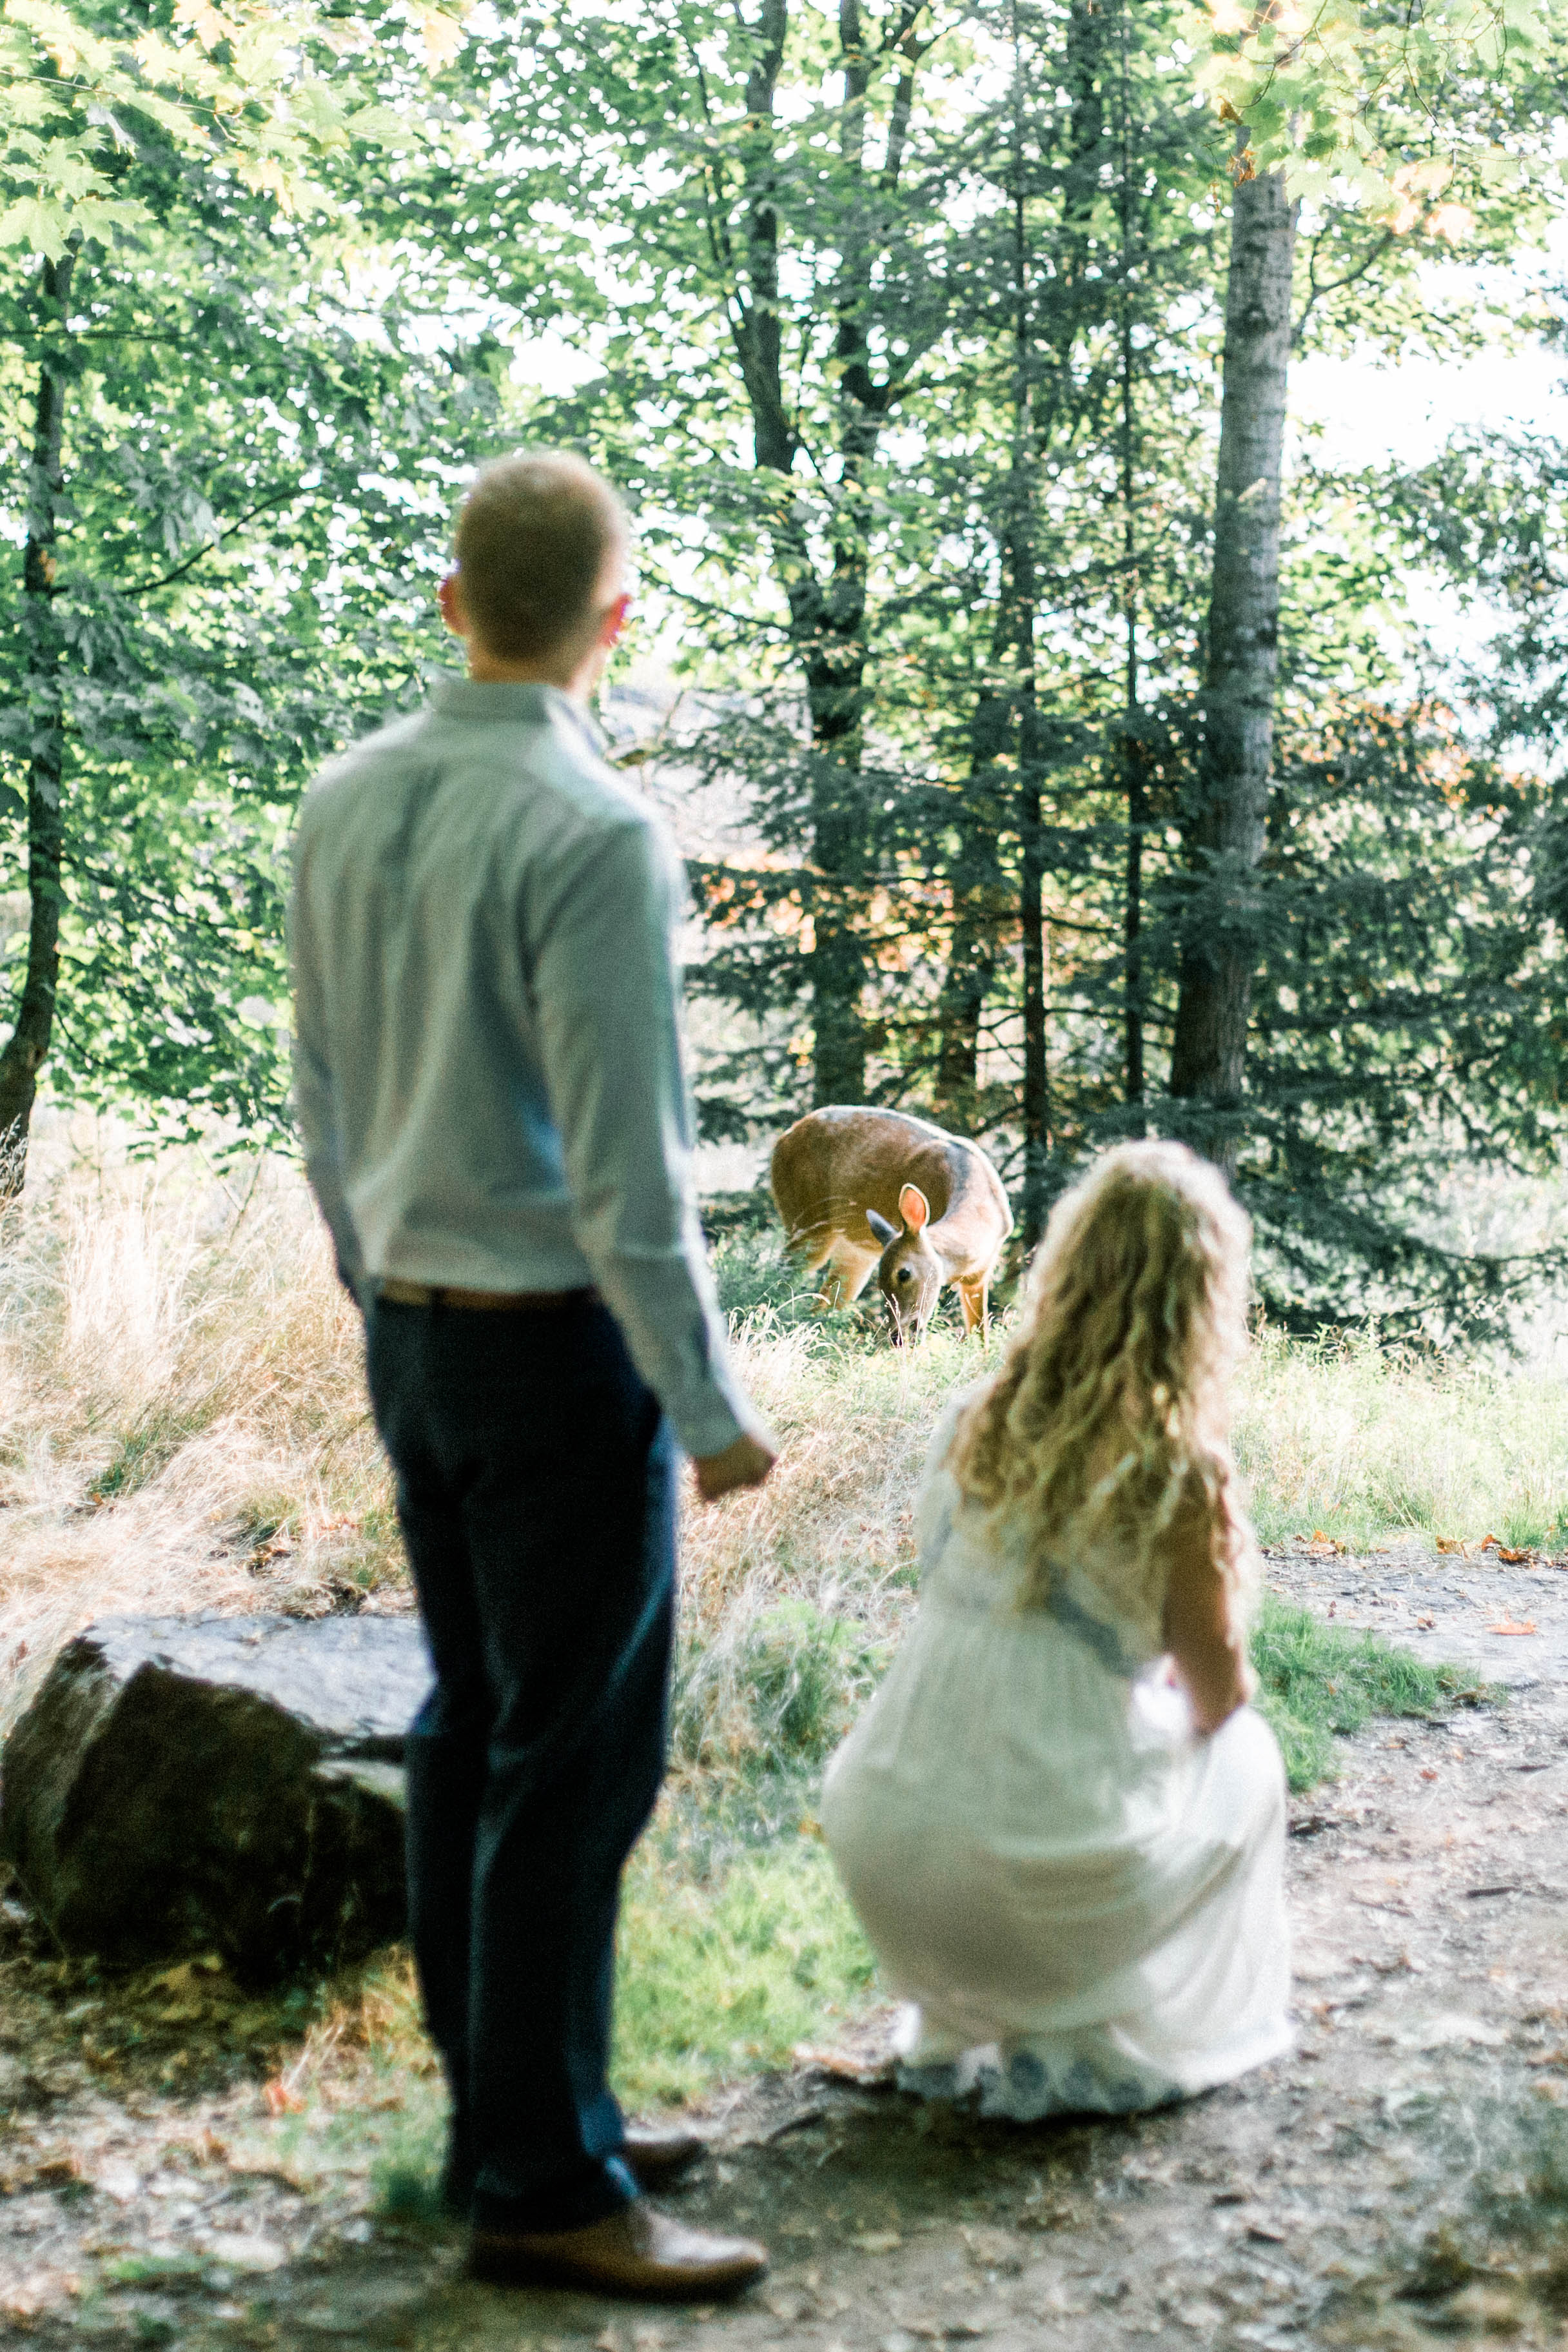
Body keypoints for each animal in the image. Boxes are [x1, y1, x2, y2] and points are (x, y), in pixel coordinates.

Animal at [770, 1105, 1020, 1345]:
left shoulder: (979, 1278)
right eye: (881, 1283)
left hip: (855, 1251)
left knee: (826, 1301)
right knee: (783, 1274)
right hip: (806, 1217)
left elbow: (981, 1338)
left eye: (903, 1274)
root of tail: (782, 1140)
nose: (897, 1337)